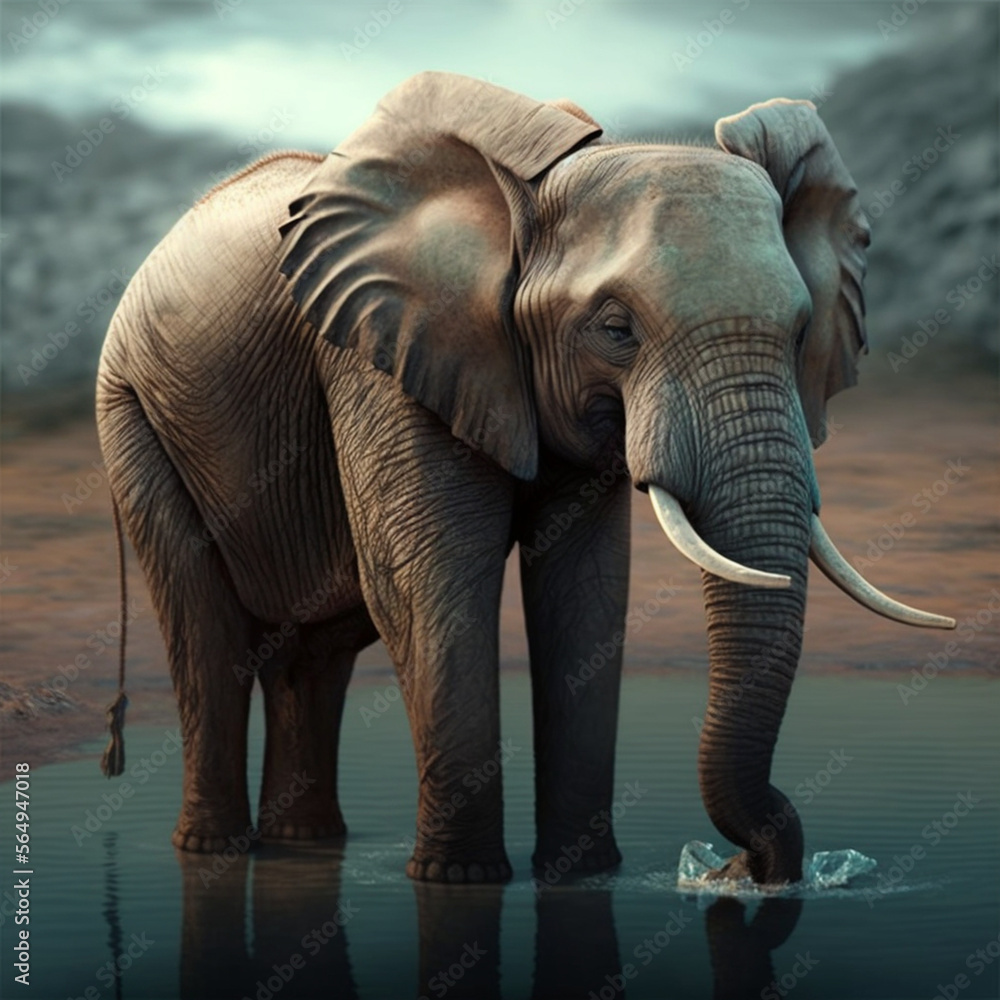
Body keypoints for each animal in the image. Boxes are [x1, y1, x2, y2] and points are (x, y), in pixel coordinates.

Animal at [96, 71, 954, 886]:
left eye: (803, 330)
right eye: (616, 329)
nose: (736, 870)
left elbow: (586, 588)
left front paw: (581, 876)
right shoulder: (380, 354)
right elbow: (432, 576)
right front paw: (460, 880)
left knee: (316, 648)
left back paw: (306, 843)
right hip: (134, 411)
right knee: (206, 631)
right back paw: (213, 848)